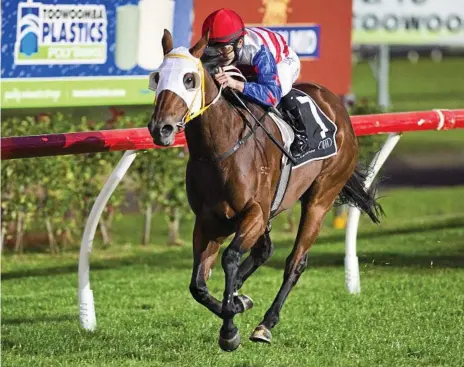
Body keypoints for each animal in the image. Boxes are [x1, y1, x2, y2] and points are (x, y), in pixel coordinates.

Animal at [148, 30, 380, 352]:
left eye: (189, 79)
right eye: (157, 77)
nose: (162, 128)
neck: (219, 150)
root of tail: (335, 104)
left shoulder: (254, 212)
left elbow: (230, 259)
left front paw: (229, 330)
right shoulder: (209, 221)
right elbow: (198, 284)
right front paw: (235, 303)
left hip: (321, 196)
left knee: (295, 262)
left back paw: (265, 324)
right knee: (264, 251)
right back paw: (240, 296)